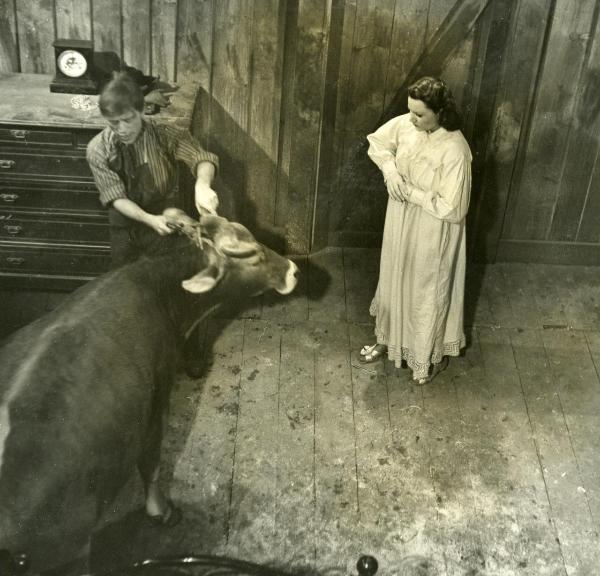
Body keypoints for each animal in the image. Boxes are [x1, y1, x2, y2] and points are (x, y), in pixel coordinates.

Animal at [0, 209, 298, 572]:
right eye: (253, 256)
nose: (293, 269)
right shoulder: (156, 401)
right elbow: (153, 463)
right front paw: (162, 512)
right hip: (66, 551)